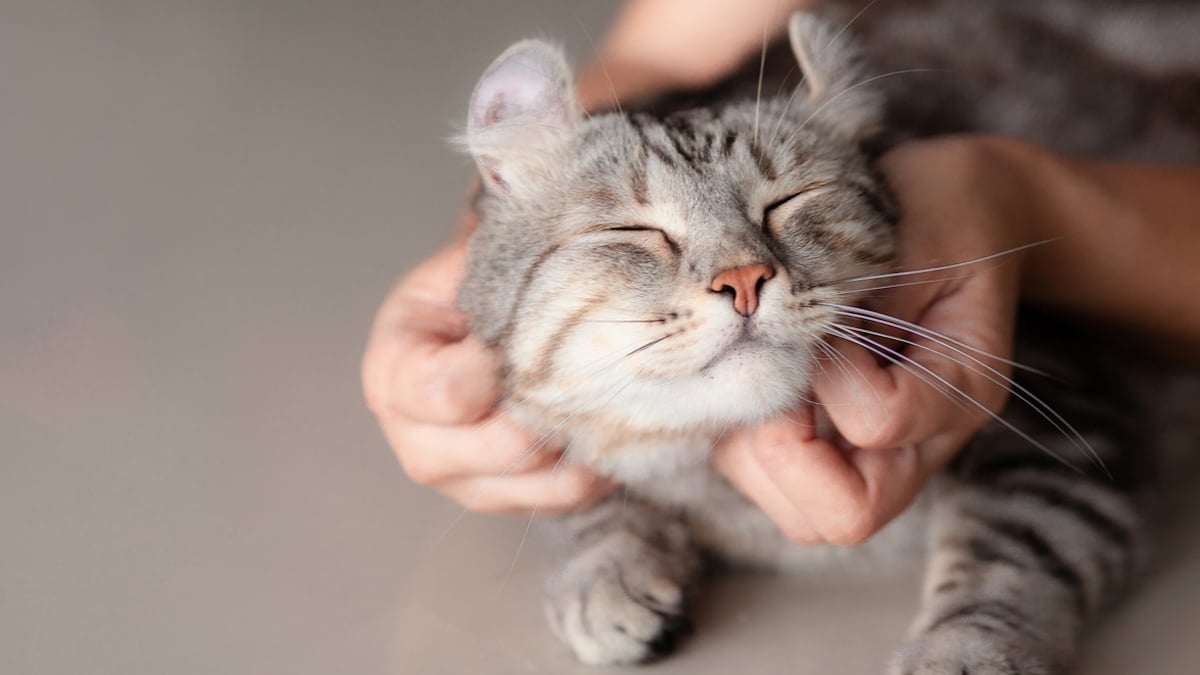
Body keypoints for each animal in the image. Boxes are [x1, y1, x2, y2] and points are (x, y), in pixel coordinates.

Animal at [453, 2, 1195, 667]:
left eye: (788, 201)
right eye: (635, 230)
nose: (744, 278)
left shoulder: (1068, 419)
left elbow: (1012, 553)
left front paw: (960, 651)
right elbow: (586, 499)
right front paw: (607, 571)